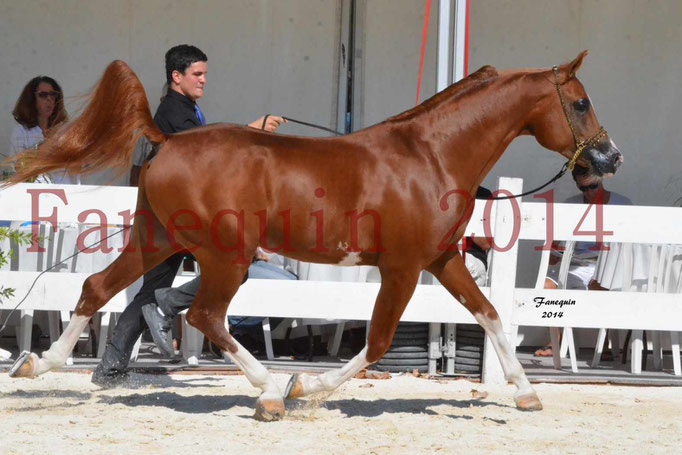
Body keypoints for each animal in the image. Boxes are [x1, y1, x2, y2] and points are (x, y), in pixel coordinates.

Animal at [6, 51, 620, 422]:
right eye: (581, 102)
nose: (608, 158)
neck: (431, 156)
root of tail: (167, 139)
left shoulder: (441, 260)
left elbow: (490, 314)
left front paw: (526, 392)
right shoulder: (402, 267)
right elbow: (377, 342)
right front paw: (304, 388)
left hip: (156, 240)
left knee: (97, 288)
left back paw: (36, 364)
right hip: (226, 255)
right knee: (204, 315)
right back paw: (271, 392)